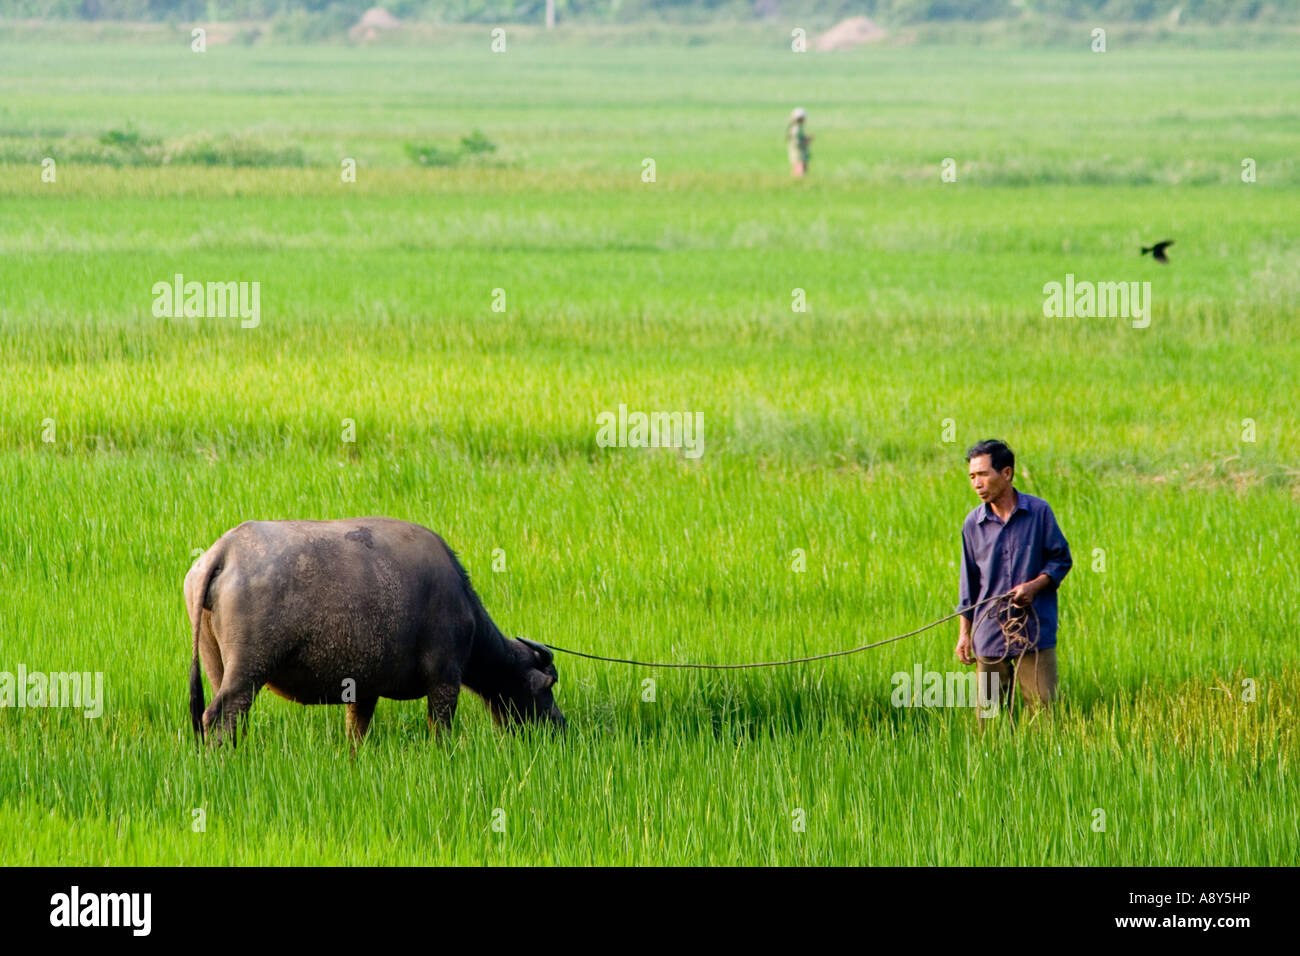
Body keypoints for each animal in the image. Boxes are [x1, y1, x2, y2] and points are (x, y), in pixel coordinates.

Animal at [184, 520, 564, 743]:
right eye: (546, 687)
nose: (560, 725)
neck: (462, 603)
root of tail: (225, 551)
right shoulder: (445, 680)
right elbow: (440, 729)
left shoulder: (364, 689)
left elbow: (357, 731)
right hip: (249, 668)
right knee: (221, 714)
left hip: (216, 662)